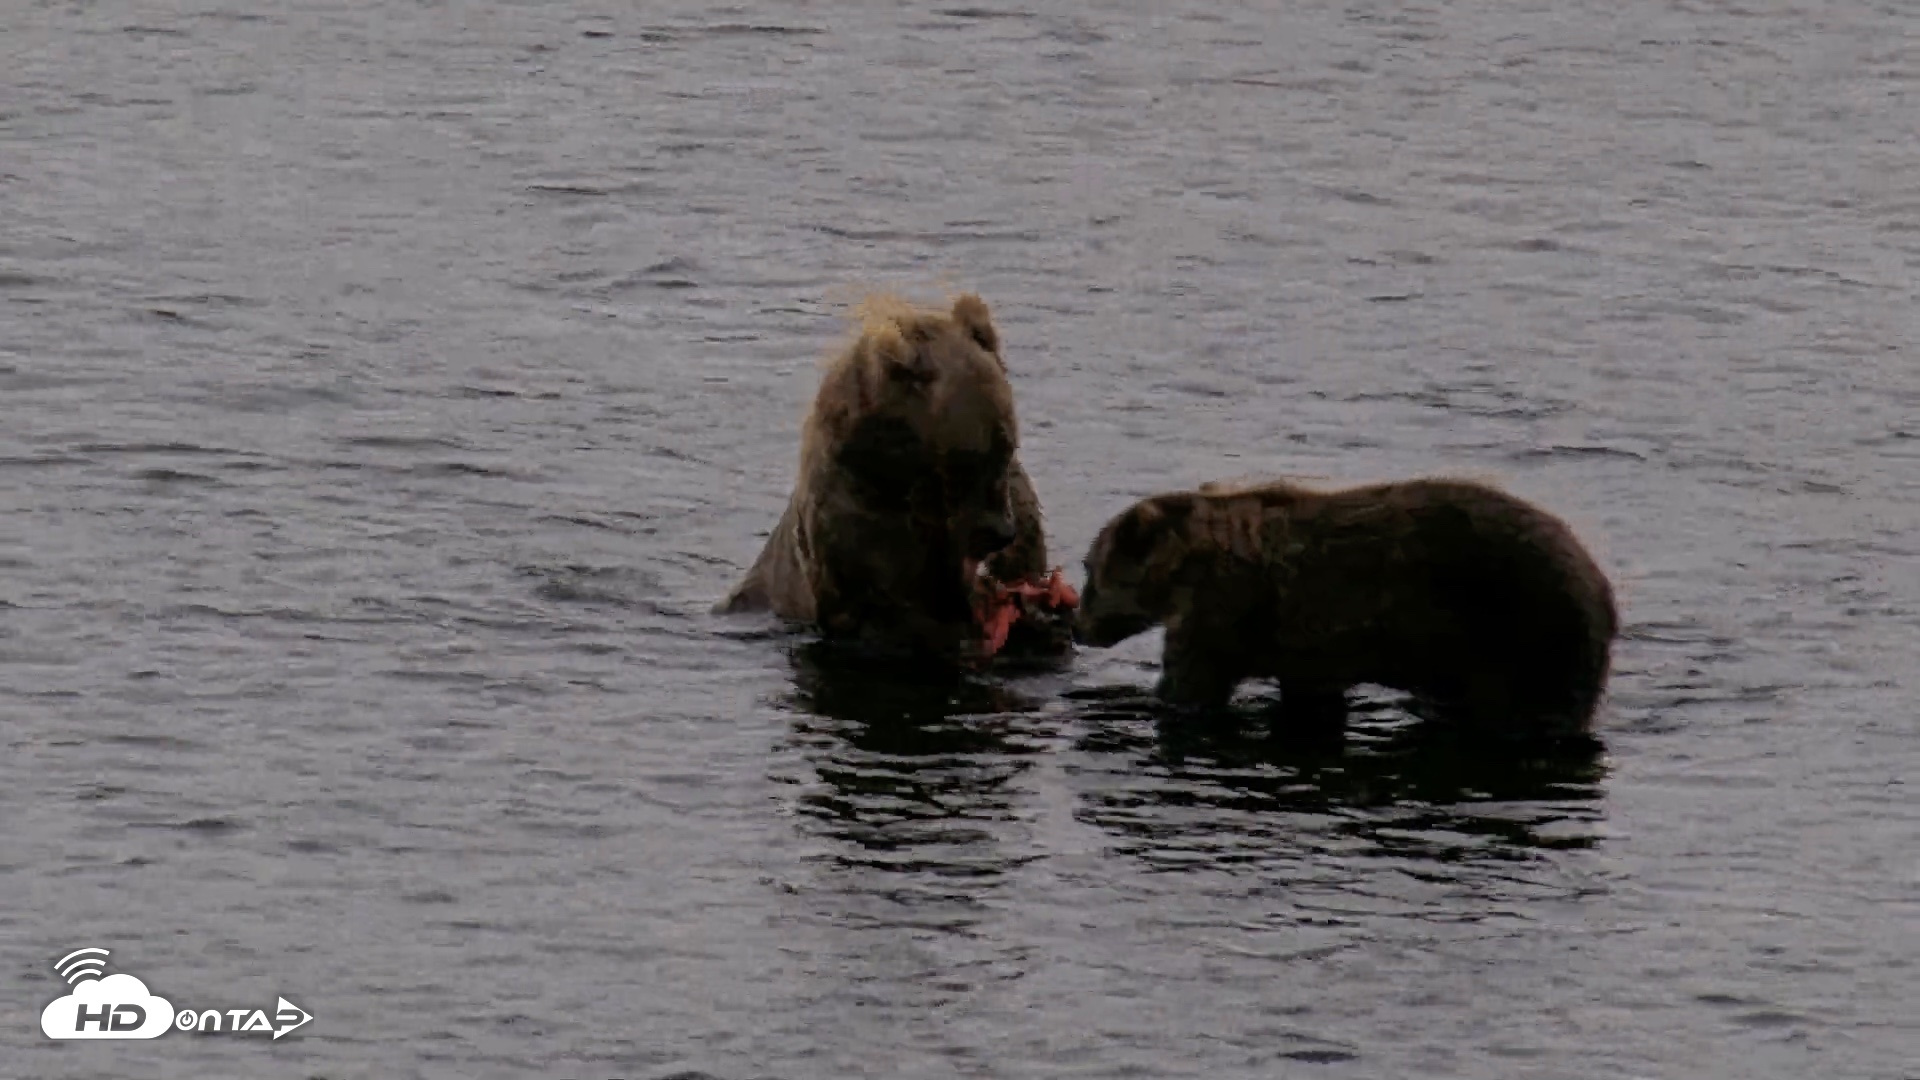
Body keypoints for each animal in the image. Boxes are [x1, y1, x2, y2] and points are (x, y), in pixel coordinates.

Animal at [1073, 476, 1618, 734]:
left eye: (1087, 569)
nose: (1079, 627)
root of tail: (1603, 585)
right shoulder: (1303, 642)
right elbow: (1311, 694)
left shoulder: (1220, 611)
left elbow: (1188, 688)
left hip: (1523, 628)